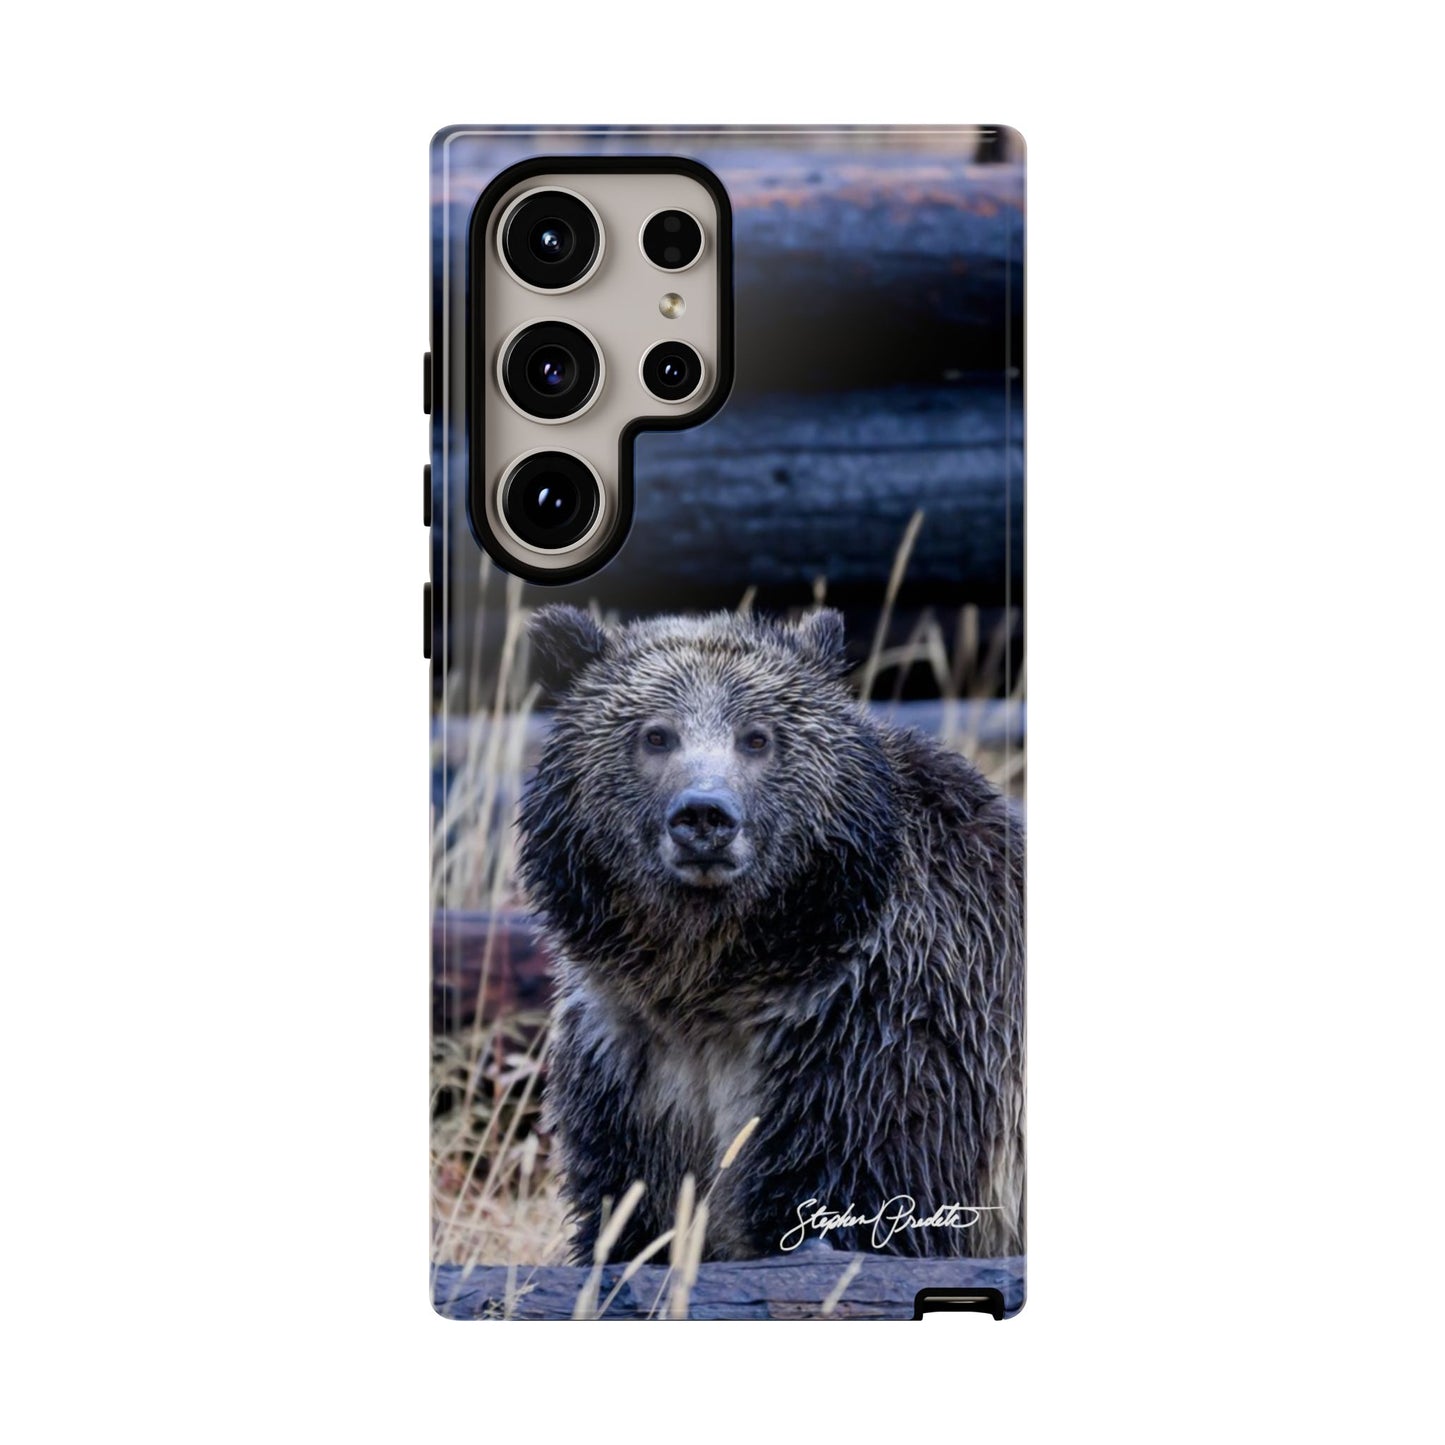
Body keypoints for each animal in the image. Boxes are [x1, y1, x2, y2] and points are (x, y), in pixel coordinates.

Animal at [518, 605, 1024, 1264]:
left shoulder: (879, 1040)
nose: (704, 816)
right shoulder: (631, 1064)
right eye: (656, 735)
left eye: (757, 737)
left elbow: (862, 1204)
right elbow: (628, 1214)